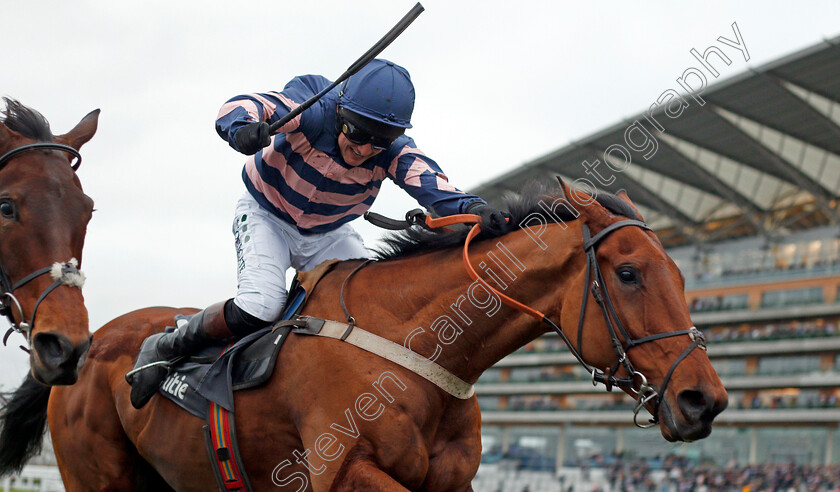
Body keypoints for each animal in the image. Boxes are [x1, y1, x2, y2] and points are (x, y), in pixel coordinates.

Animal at [1, 179, 728, 490]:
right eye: (629, 273)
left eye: (682, 276)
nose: (705, 400)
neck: (417, 349)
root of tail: (89, 343)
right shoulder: (344, 472)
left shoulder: (450, 483)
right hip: (95, 475)